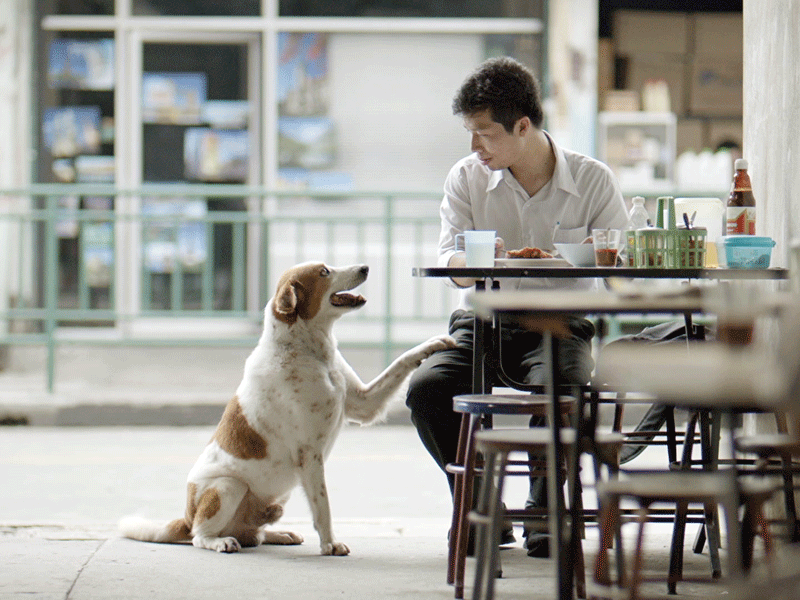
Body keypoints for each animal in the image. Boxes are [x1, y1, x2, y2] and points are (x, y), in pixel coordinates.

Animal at [119, 264, 456, 556]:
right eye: (325, 271)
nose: (365, 267)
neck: (313, 352)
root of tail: (185, 517)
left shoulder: (363, 403)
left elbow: (401, 361)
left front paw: (435, 343)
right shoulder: (310, 454)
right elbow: (323, 506)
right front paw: (330, 544)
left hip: (277, 498)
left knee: (253, 534)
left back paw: (278, 534)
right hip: (228, 487)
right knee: (200, 536)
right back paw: (221, 542)